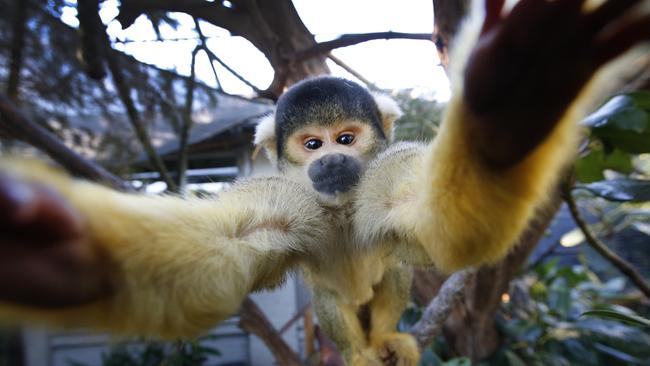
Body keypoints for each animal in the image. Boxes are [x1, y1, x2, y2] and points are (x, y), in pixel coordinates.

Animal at [1, 1, 648, 364]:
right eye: (311, 146)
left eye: (345, 138)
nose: (331, 162)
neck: (337, 206)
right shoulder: (284, 198)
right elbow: (226, 246)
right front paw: (63, 258)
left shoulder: (382, 176)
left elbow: (440, 229)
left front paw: (510, 110)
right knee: (331, 300)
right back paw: (358, 350)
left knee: (394, 270)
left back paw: (385, 338)